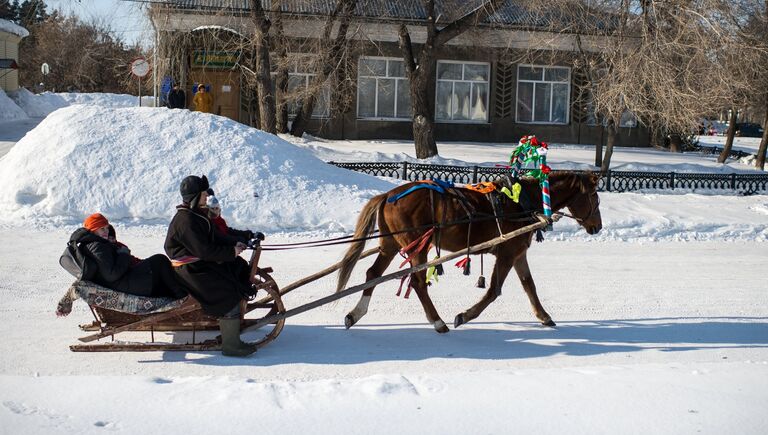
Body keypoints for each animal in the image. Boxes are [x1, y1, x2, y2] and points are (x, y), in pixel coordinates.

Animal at [336, 171, 608, 334]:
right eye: (595, 196)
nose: (598, 227)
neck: (522, 201)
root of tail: (388, 195)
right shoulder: (507, 253)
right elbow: (494, 290)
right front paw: (464, 315)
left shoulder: (518, 252)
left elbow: (529, 285)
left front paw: (543, 316)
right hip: (417, 246)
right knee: (418, 282)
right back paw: (438, 321)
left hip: (391, 244)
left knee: (373, 273)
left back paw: (355, 314)